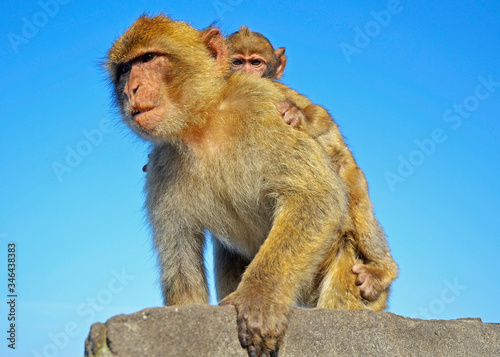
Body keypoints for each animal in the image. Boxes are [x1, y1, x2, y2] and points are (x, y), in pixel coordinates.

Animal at [106, 15, 348, 354]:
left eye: (149, 58)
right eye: (126, 68)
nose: (132, 88)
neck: (202, 125)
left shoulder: (263, 106)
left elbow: (315, 197)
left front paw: (259, 298)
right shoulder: (161, 163)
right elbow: (180, 250)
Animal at [228, 25, 398, 308]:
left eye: (256, 63)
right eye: (237, 61)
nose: (246, 73)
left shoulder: (275, 89)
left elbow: (320, 115)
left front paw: (298, 115)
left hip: (352, 174)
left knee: (354, 191)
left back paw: (384, 270)